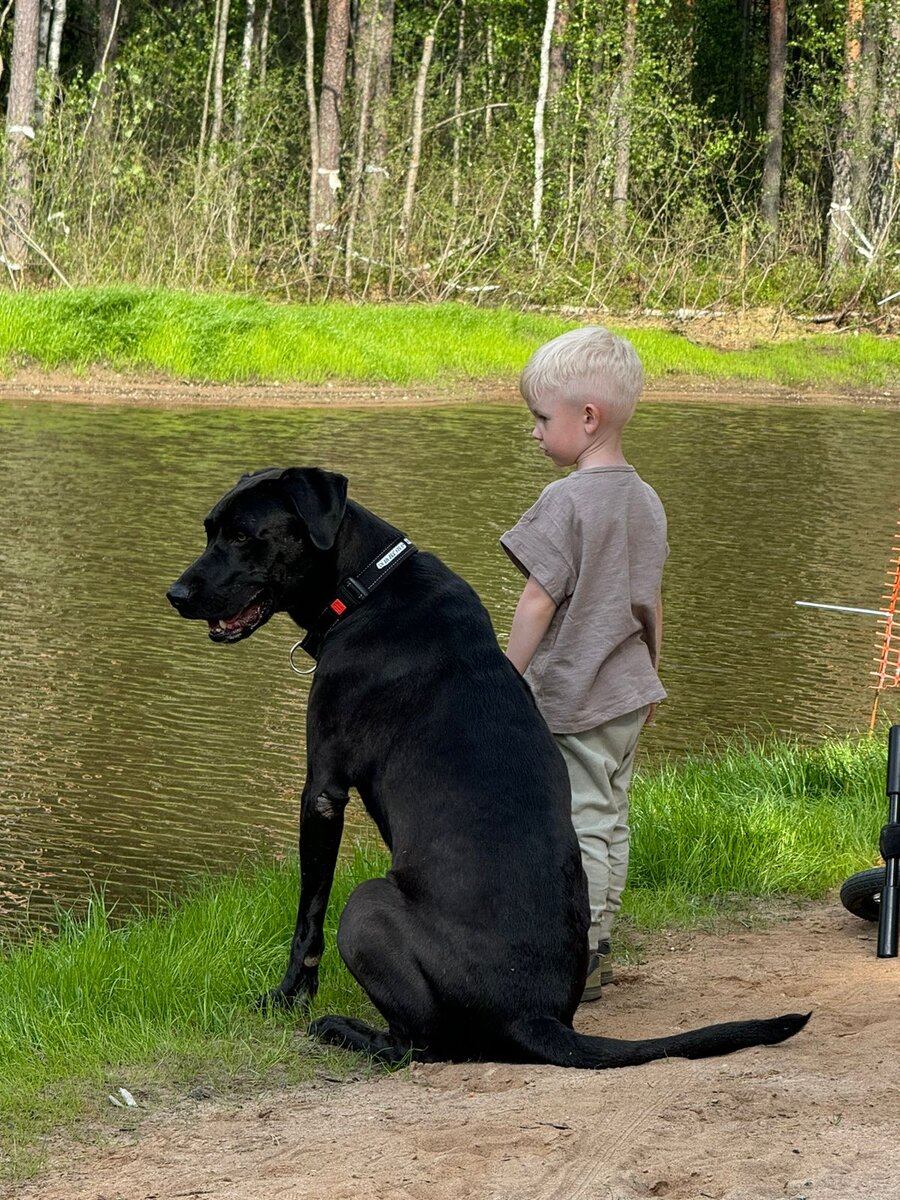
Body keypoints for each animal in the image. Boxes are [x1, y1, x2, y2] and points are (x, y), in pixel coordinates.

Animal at [169, 468, 811, 1070]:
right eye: (209, 529)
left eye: (242, 536)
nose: (175, 592)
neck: (367, 586)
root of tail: (538, 1017)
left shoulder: (322, 791)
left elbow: (308, 916)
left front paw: (286, 998)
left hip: (368, 907)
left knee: (418, 1044)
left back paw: (342, 1029)